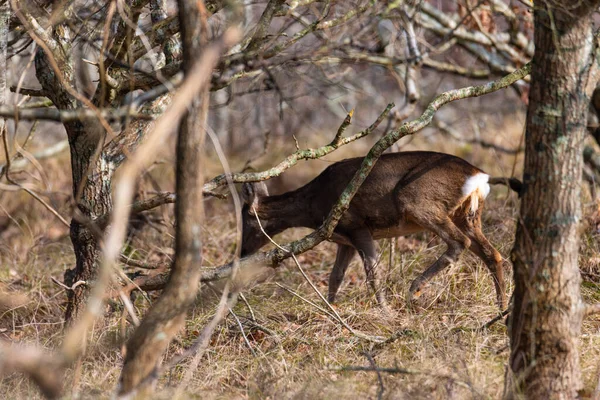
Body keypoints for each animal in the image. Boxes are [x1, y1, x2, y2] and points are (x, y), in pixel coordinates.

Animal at [239, 150, 520, 312]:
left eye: (246, 220)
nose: (241, 253)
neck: (313, 204)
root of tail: (479, 176)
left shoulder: (357, 226)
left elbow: (373, 275)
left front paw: (385, 311)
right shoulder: (344, 240)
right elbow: (335, 276)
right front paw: (329, 309)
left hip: (418, 200)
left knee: (459, 243)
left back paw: (415, 288)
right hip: (467, 215)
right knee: (492, 254)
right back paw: (501, 307)